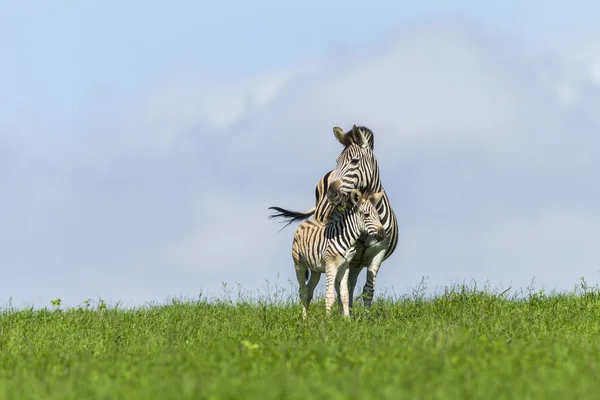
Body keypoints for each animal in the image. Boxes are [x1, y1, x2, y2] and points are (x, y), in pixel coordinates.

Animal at [290, 188, 384, 318]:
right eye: (366, 215)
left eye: (378, 216)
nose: (383, 234)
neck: (348, 240)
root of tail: (307, 221)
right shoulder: (330, 265)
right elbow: (330, 297)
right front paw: (328, 320)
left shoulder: (345, 266)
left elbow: (345, 295)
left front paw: (347, 319)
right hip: (299, 263)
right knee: (303, 291)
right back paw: (304, 319)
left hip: (315, 270)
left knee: (309, 290)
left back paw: (307, 318)